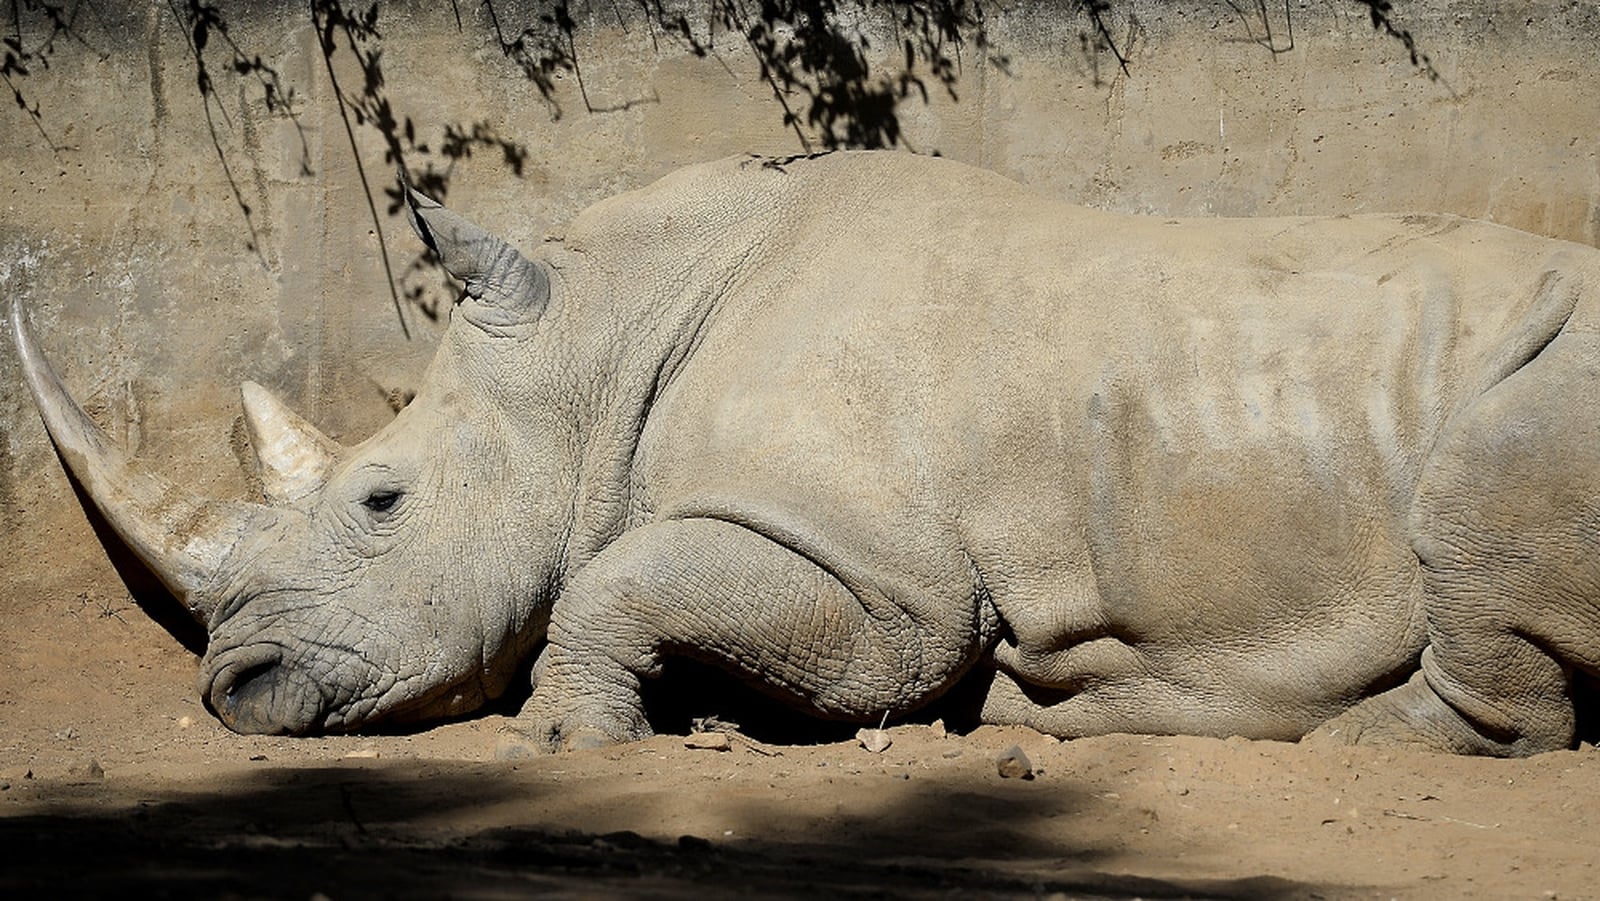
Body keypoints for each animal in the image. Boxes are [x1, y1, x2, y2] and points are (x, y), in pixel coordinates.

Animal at [14, 151, 1600, 756]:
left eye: (380, 500)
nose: (232, 689)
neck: (598, 346)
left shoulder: (887, 582)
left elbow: (618, 579)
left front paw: (563, 740)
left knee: (1475, 503)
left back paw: (1355, 740)